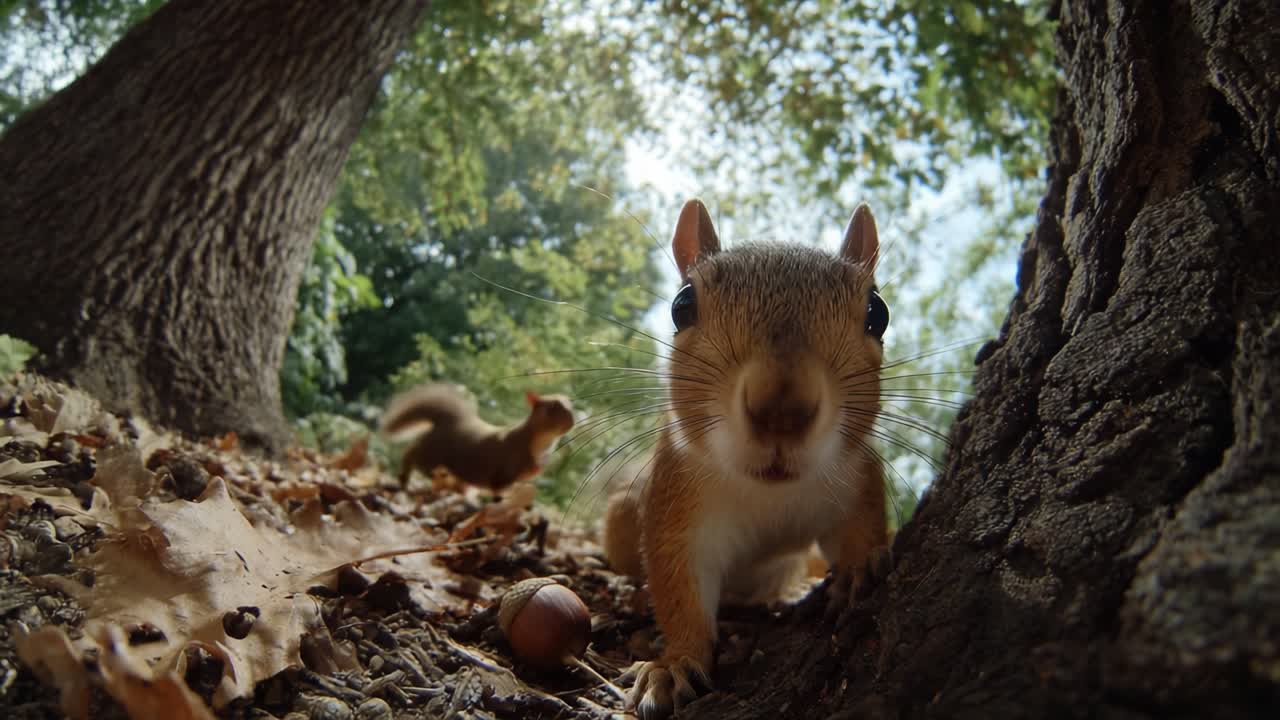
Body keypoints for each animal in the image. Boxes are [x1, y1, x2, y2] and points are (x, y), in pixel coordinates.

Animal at [380, 384, 575, 491]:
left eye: (570, 403)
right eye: (550, 408)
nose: (572, 420)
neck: (543, 443)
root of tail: (449, 422)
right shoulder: (505, 471)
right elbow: (499, 490)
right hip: (431, 457)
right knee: (411, 454)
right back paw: (405, 477)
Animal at [602, 199, 892, 719]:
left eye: (877, 314)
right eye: (681, 306)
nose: (781, 411)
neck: (768, 492)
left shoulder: (856, 476)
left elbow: (861, 526)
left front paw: (860, 565)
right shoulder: (678, 505)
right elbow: (679, 587)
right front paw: (672, 666)